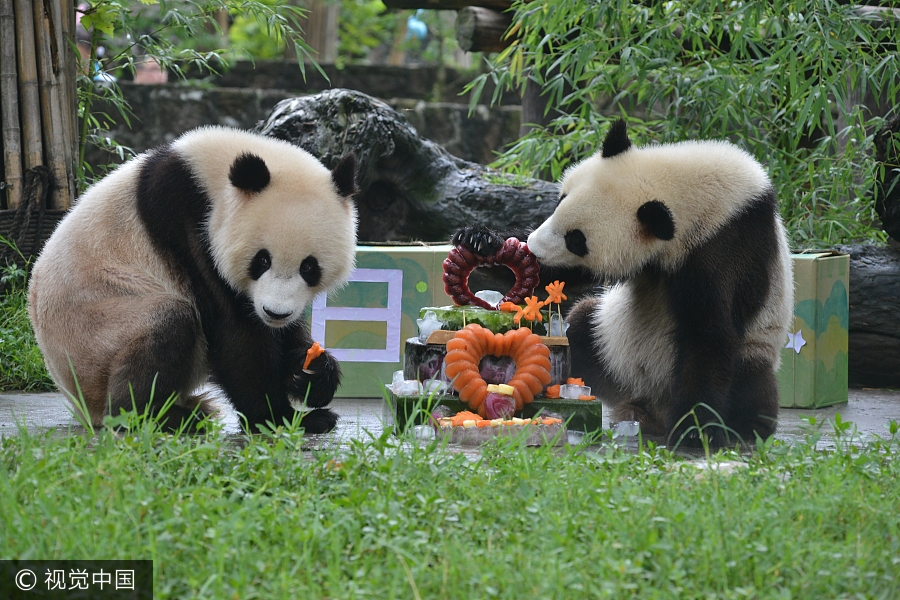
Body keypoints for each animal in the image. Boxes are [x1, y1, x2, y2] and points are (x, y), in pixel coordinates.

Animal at [25, 127, 356, 436]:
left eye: (309, 267)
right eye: (262, 260)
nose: (276, 313)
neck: (209, 177)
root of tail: (80, 403)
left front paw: (312, 374)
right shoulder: (187, 223)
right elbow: (234, 330)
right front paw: (284, 418)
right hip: (95, 335)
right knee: (168, 321)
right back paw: (161, 417)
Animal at [458, 119, 796, 446]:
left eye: (577, 239)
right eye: (560, 201)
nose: (533, 246)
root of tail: (649, 409)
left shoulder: (726, 243)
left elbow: (709, 333)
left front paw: (694, 430)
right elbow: (561, 274)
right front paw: (480, 240)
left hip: (756, 346)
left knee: (750, 376)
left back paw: (746, 427)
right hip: (610, 349)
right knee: (583, 323)